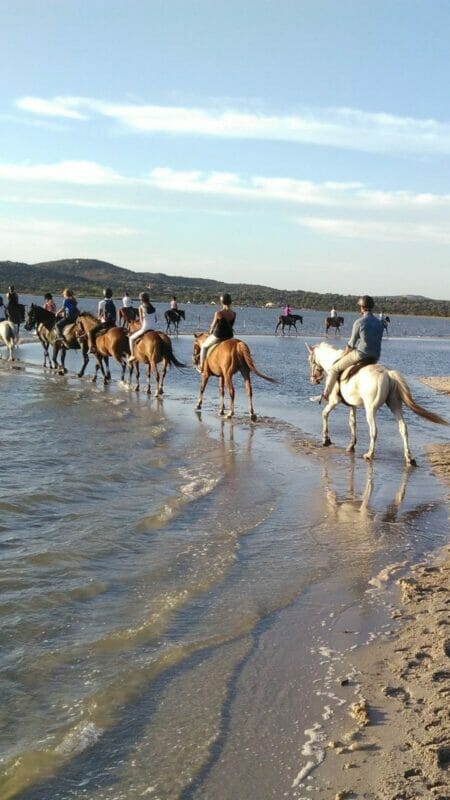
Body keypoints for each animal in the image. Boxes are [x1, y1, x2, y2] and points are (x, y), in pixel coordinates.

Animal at [306, 340, 446, 466]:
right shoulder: (352, 406)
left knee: (374, 430)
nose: (313, 380)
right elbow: (352, 423)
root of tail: (388, 374)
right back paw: (409, 458)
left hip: (370, 409)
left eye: (309, 360)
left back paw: (369, 454)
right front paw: (351, 446)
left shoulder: (334, 401)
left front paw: (326, 440)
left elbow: (324, 414)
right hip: (395, 406)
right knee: (403, 428)